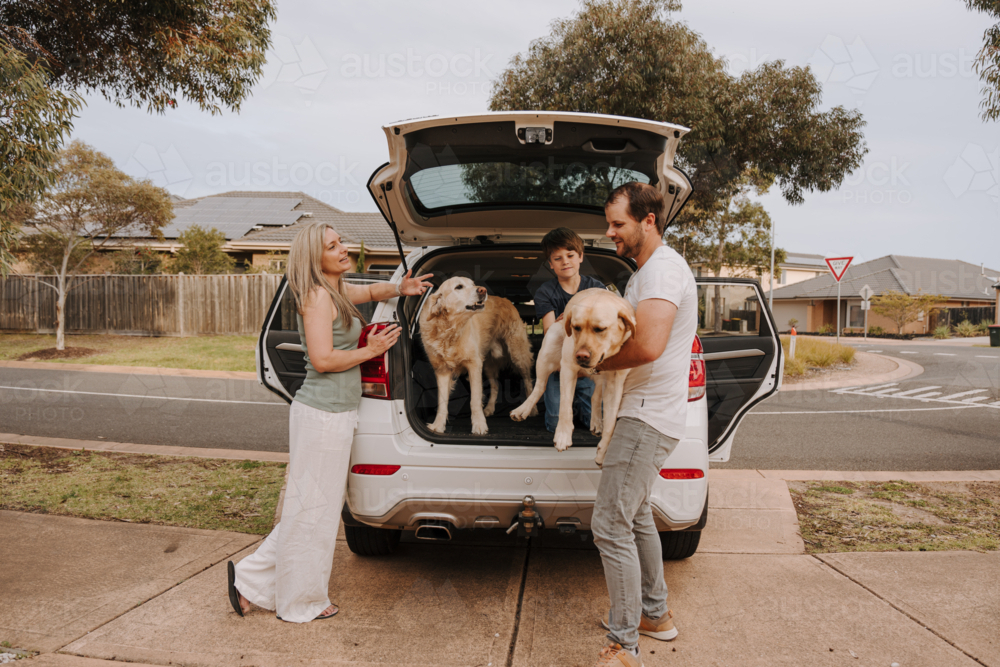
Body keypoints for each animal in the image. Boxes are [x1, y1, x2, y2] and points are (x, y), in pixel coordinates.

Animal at [416, 276, 536, 436]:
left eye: (473, 284)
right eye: (459, 287)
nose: (483, 290)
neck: (450, 331)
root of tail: (506, 300)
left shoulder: (474, 365)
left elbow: (475, 400)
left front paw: (479, 425)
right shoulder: (442, 370)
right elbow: (442, 401)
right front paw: (438, 426)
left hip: (518, 355)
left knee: (529, 382)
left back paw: (531, 410)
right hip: (488, 365)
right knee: (495, 385)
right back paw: (489, 409)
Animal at [512, 290, 636, 468]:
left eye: (600, 329)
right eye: (576, 327)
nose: (581, 356)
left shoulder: (616, 381)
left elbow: (611, 423)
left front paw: (603, 452)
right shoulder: (568, 368)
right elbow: (565, 406)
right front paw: (563, 436)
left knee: (595, 397)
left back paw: (596, 422)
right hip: (548, 347)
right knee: (539, 386)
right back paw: (523, 409)